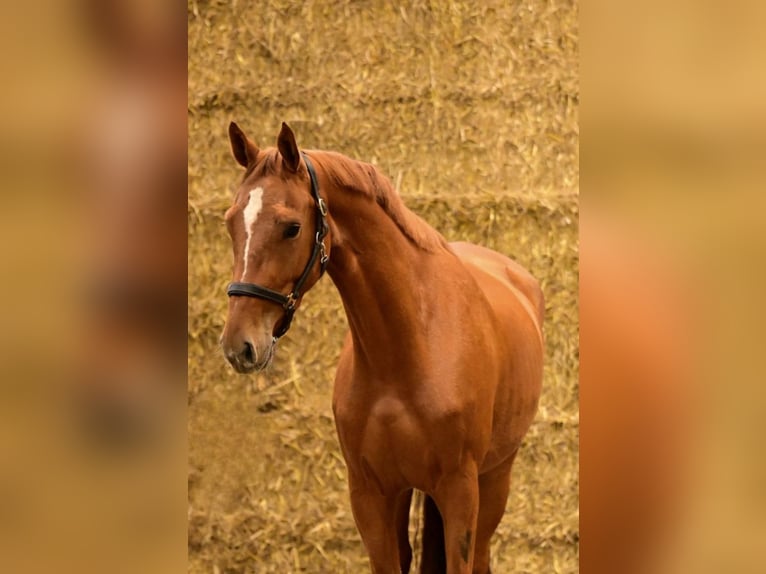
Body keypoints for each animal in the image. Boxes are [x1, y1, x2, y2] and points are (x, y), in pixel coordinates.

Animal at [220, 122, 544, 574]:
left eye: (291, 227)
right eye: (231, 222)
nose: (240, 346)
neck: (406, 352)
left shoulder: (460, 491)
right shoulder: (370, 494)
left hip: (495, 479)